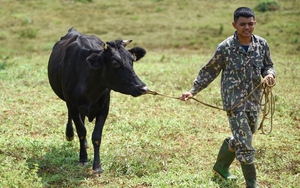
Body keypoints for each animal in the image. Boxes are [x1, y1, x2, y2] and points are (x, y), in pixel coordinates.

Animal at [47, 27, 149, 173]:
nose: (143, 87)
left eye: (132, 60)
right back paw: (70, 134)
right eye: (115, 63)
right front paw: (83, 158)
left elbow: (96, 137)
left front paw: (97, 166)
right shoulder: (72, 105)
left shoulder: (104, 108)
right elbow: (82, 131)